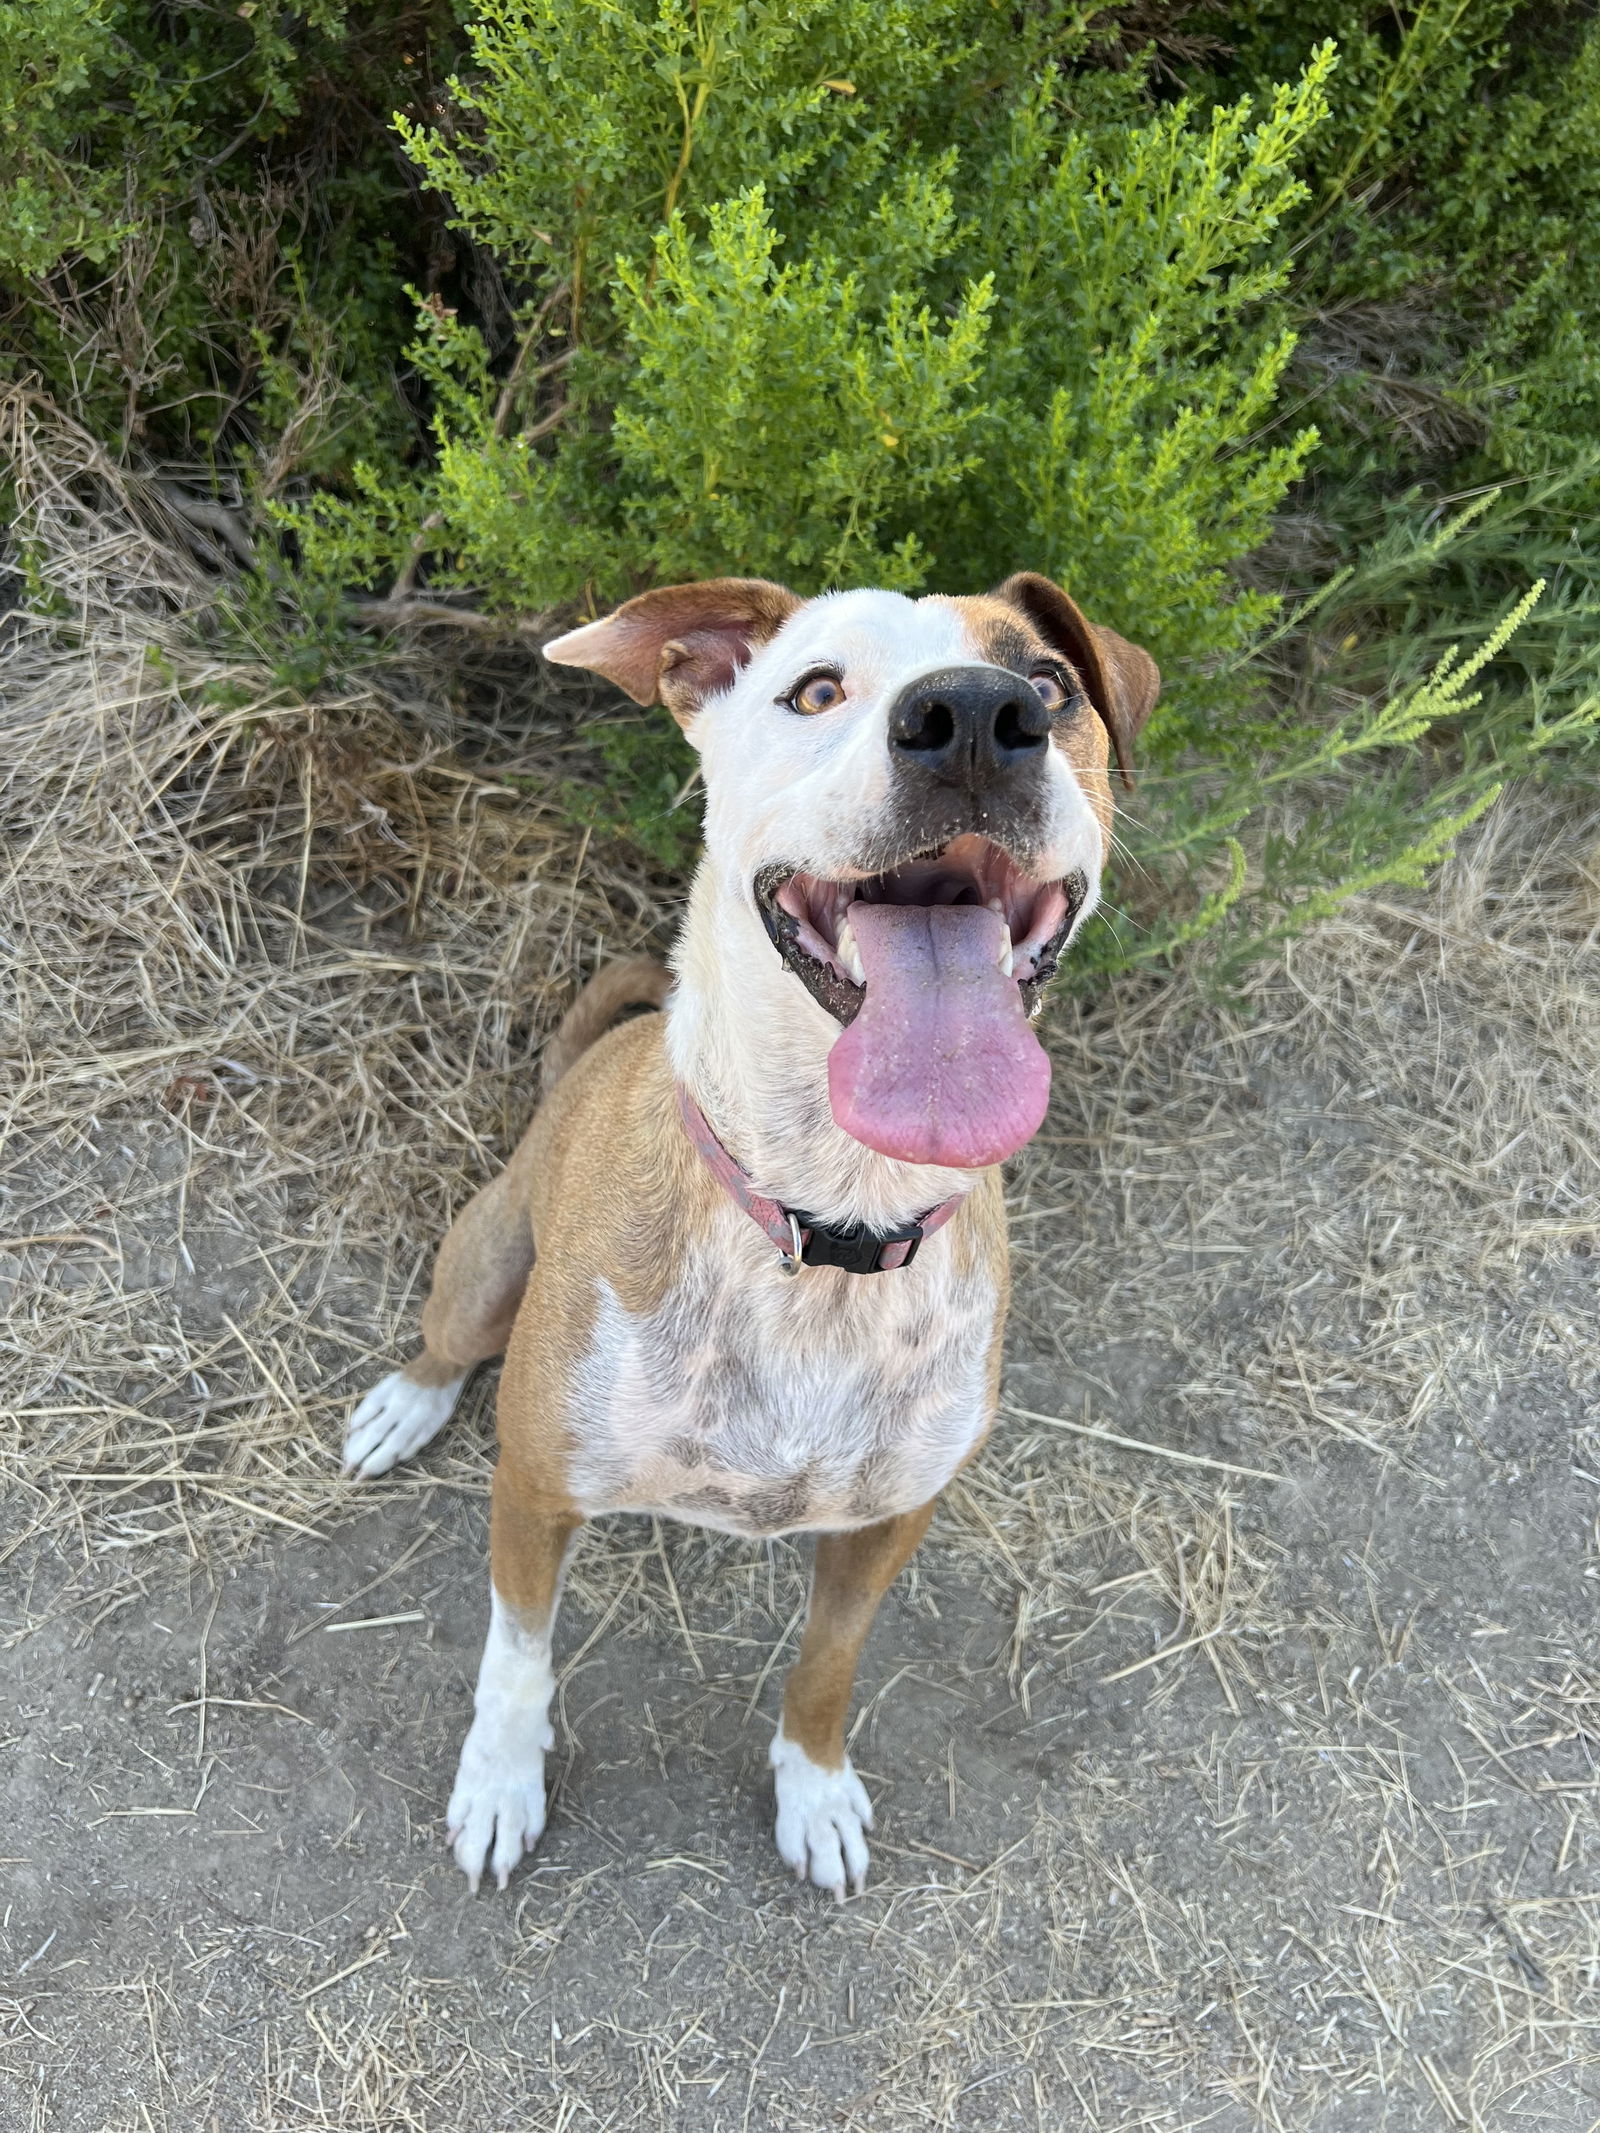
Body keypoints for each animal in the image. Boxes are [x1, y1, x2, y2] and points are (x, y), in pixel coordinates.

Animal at [347, 571, 1152, 1902]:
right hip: (486, 1261)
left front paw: (812, 1792)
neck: (830, 1223)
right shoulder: (534, 1489)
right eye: (815, 690)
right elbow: (516, 1660)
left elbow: (826, 1667)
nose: (975, 719)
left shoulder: (888, 1524)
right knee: (447, 1343)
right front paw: (500, 1786)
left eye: (1048, 682)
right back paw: (402, 1406)